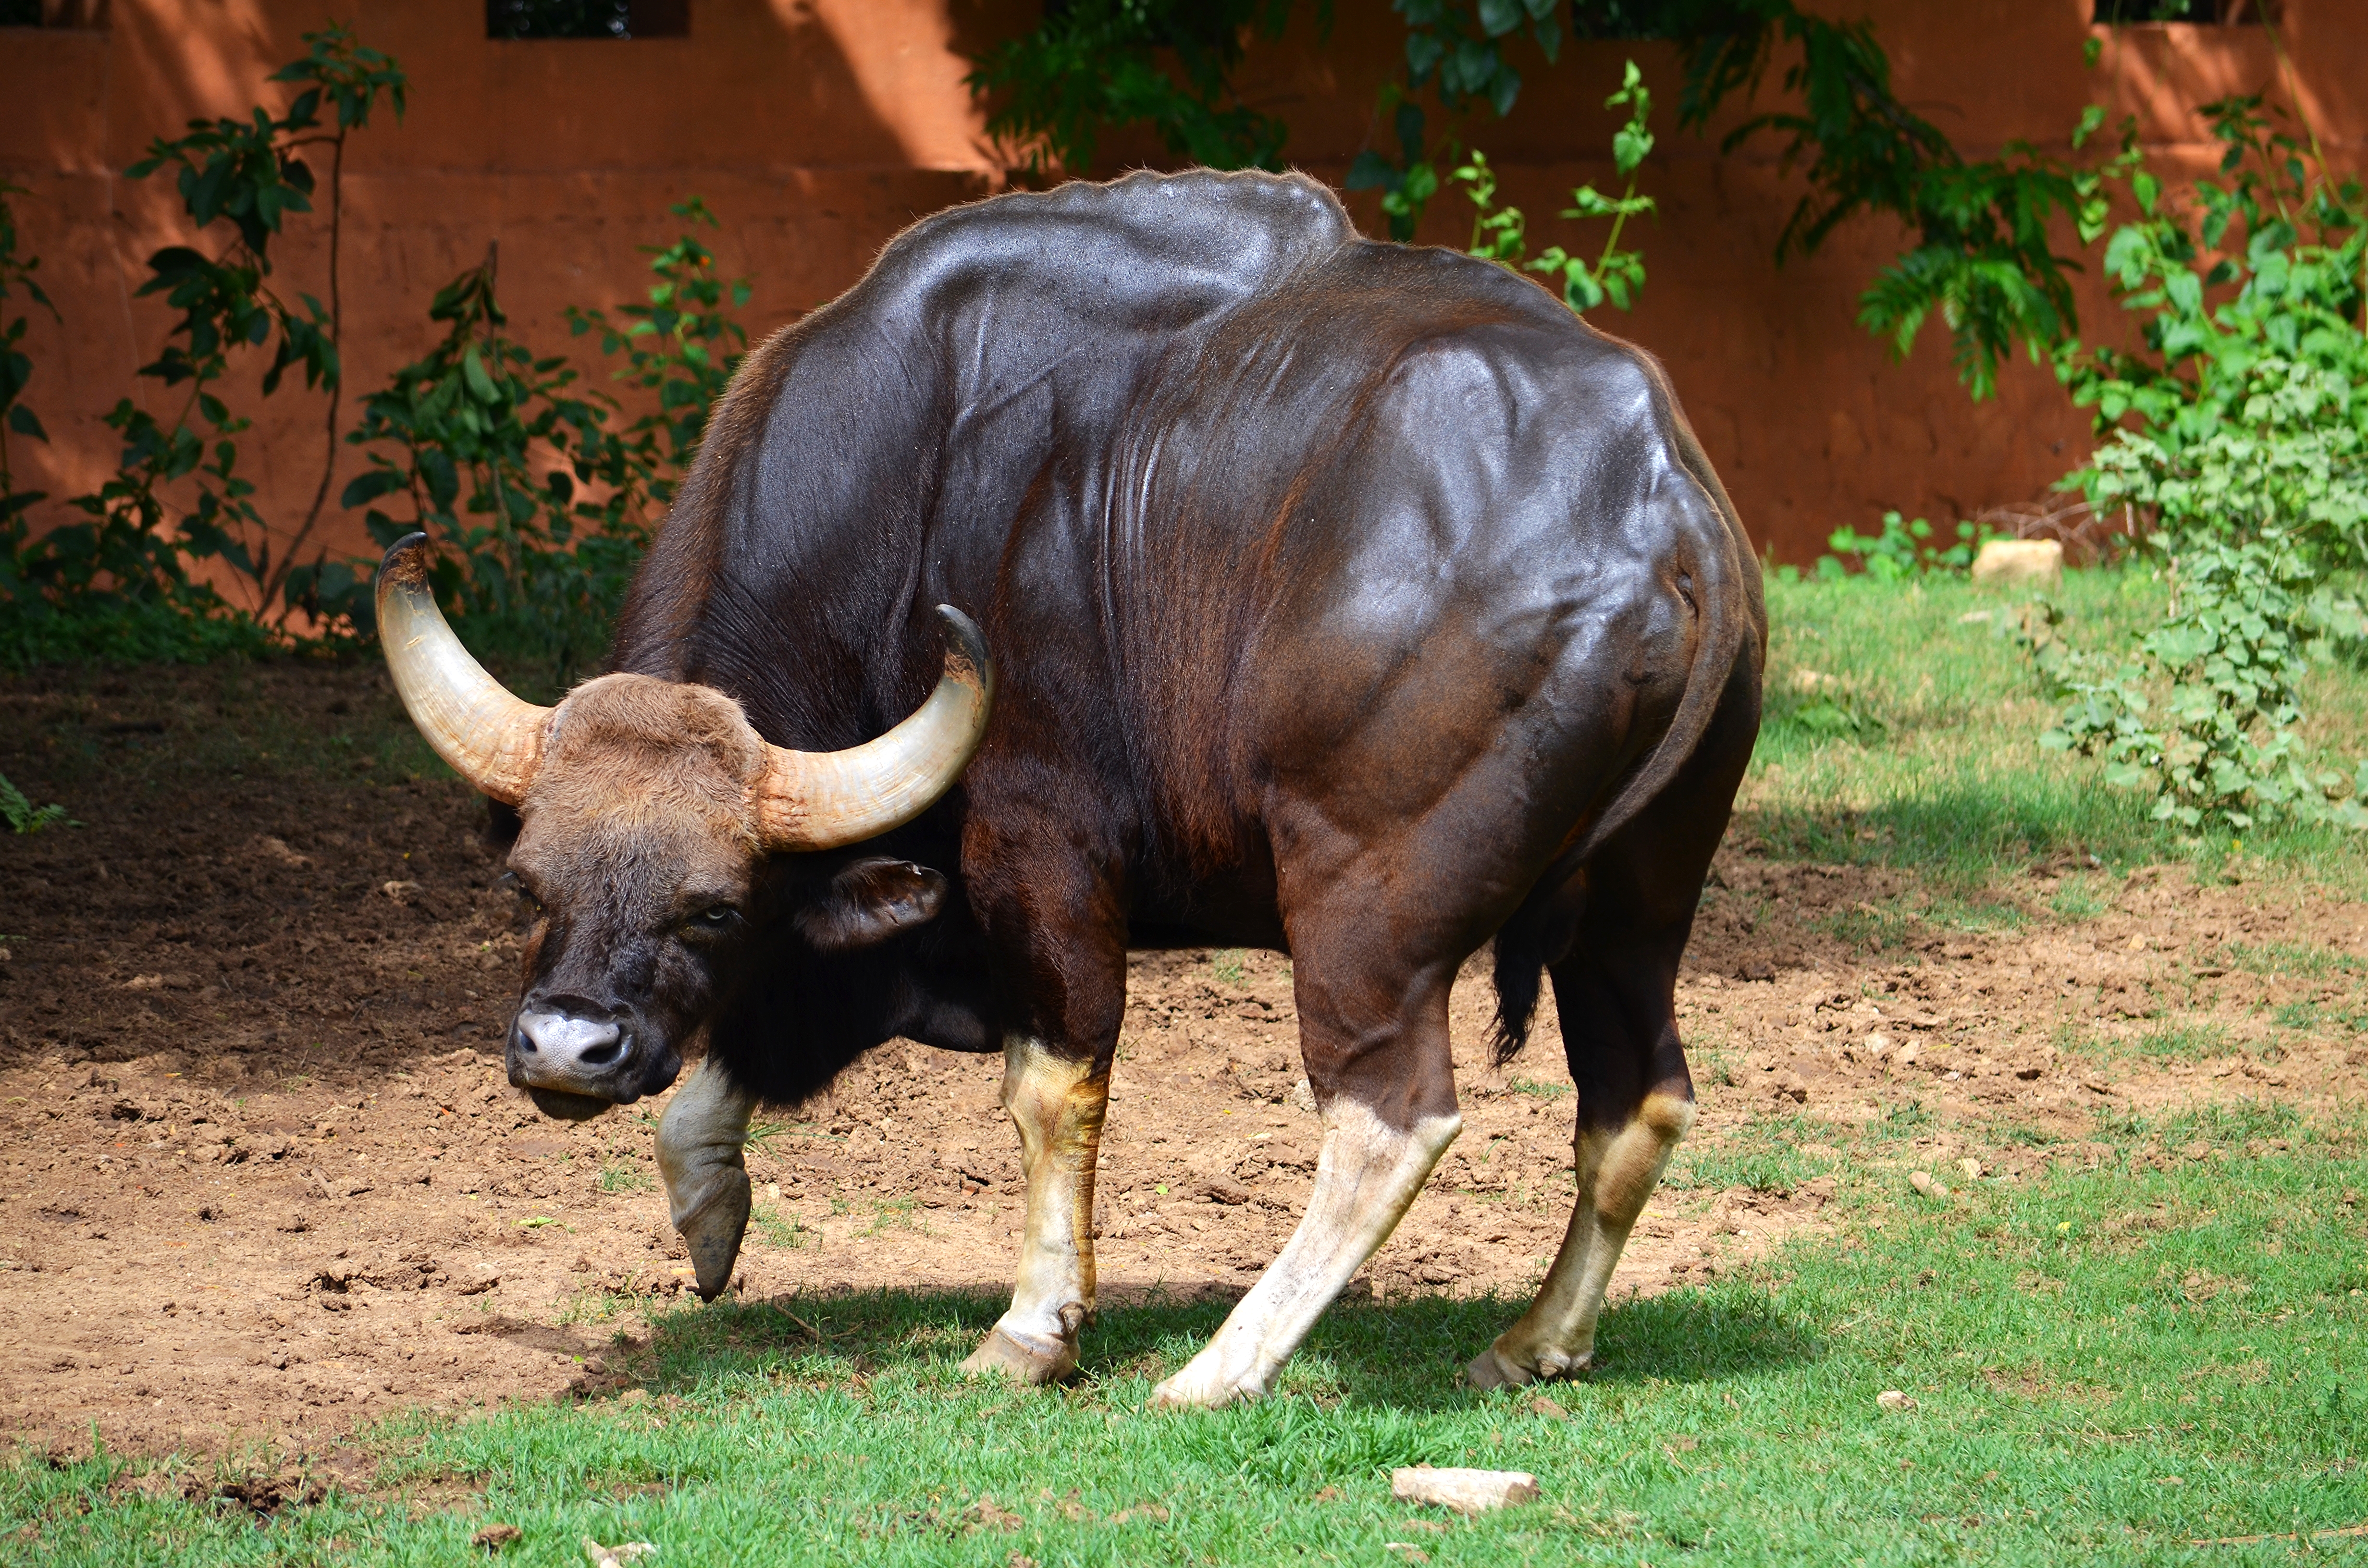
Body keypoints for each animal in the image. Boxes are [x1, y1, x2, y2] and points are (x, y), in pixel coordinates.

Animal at [376, 168, 1765, 1408]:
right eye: (526, 886)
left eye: (712, 904)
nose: (567, 1048)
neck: (919, 486)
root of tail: (1666, 508)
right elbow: (741, 1056)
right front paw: (711, 1219)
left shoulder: (1040, 862)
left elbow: (1049, 1091)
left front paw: (1034, 1329)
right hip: (1638, 907)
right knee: (1638, 1098)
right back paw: (1537, 1341)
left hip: (1367, 904)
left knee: (1394, 1115)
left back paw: (1223, 1368)